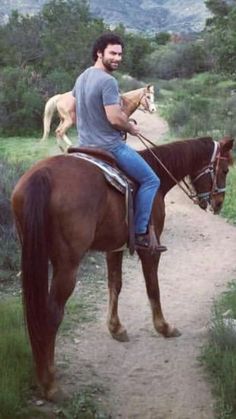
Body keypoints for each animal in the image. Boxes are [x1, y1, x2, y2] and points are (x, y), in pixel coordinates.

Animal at [11, 135, 234, 400]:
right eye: (225, 169)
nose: (218, 203)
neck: (158, 175)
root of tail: (42, 175)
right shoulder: (150, 249)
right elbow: (153, 288)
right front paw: (164, 327)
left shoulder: (114, 248)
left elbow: (114, 284)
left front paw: (116, 328)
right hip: (67, 266)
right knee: (52, 313)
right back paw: (50, 384)